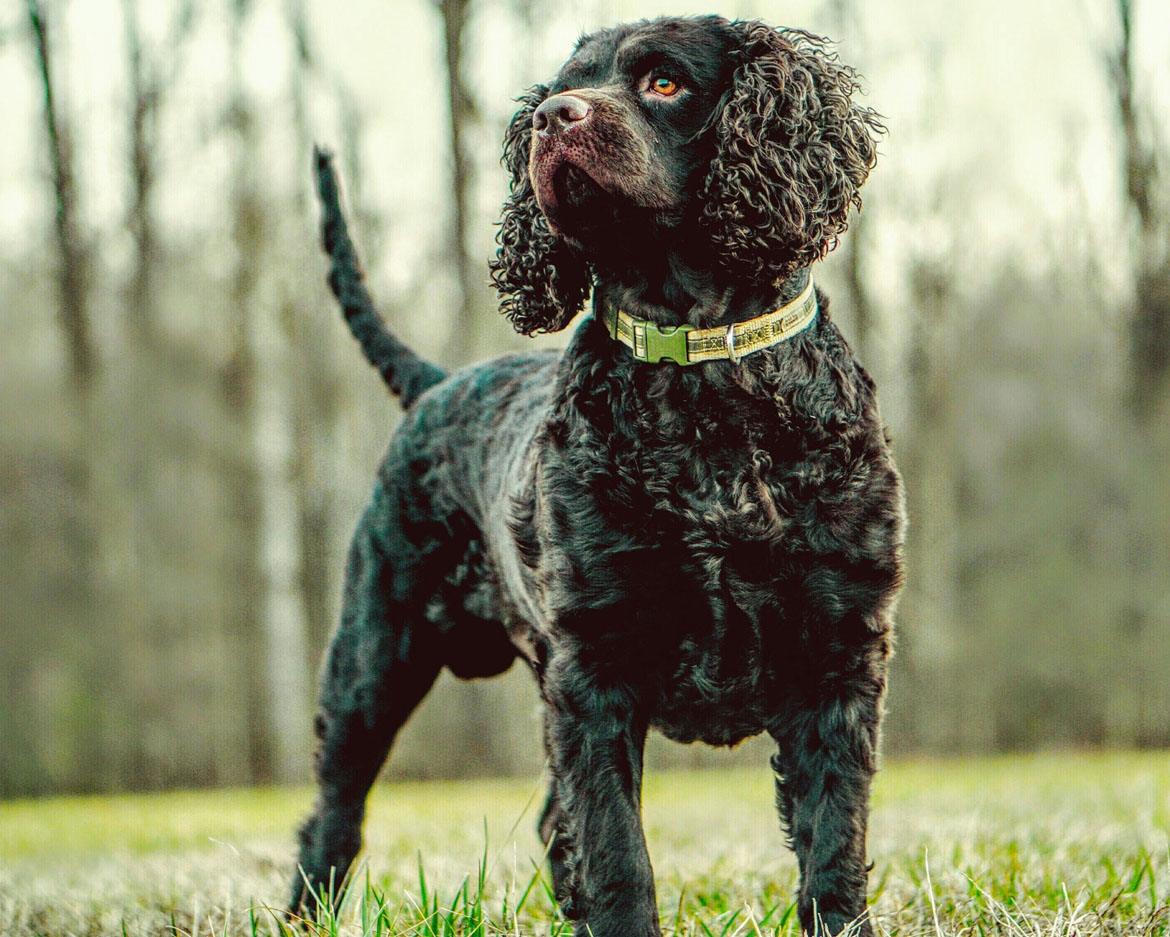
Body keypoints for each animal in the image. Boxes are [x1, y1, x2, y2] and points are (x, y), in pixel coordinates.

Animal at [292, 14, 903, 935]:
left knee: (551, 820)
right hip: (373, 654)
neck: (702, 385)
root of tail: (436, 382)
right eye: (560, 86)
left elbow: (833, 848)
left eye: (663, 82)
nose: (553, 118)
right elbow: (617, 850)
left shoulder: (838, 654)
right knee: (335, 813)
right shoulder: (595, 666)